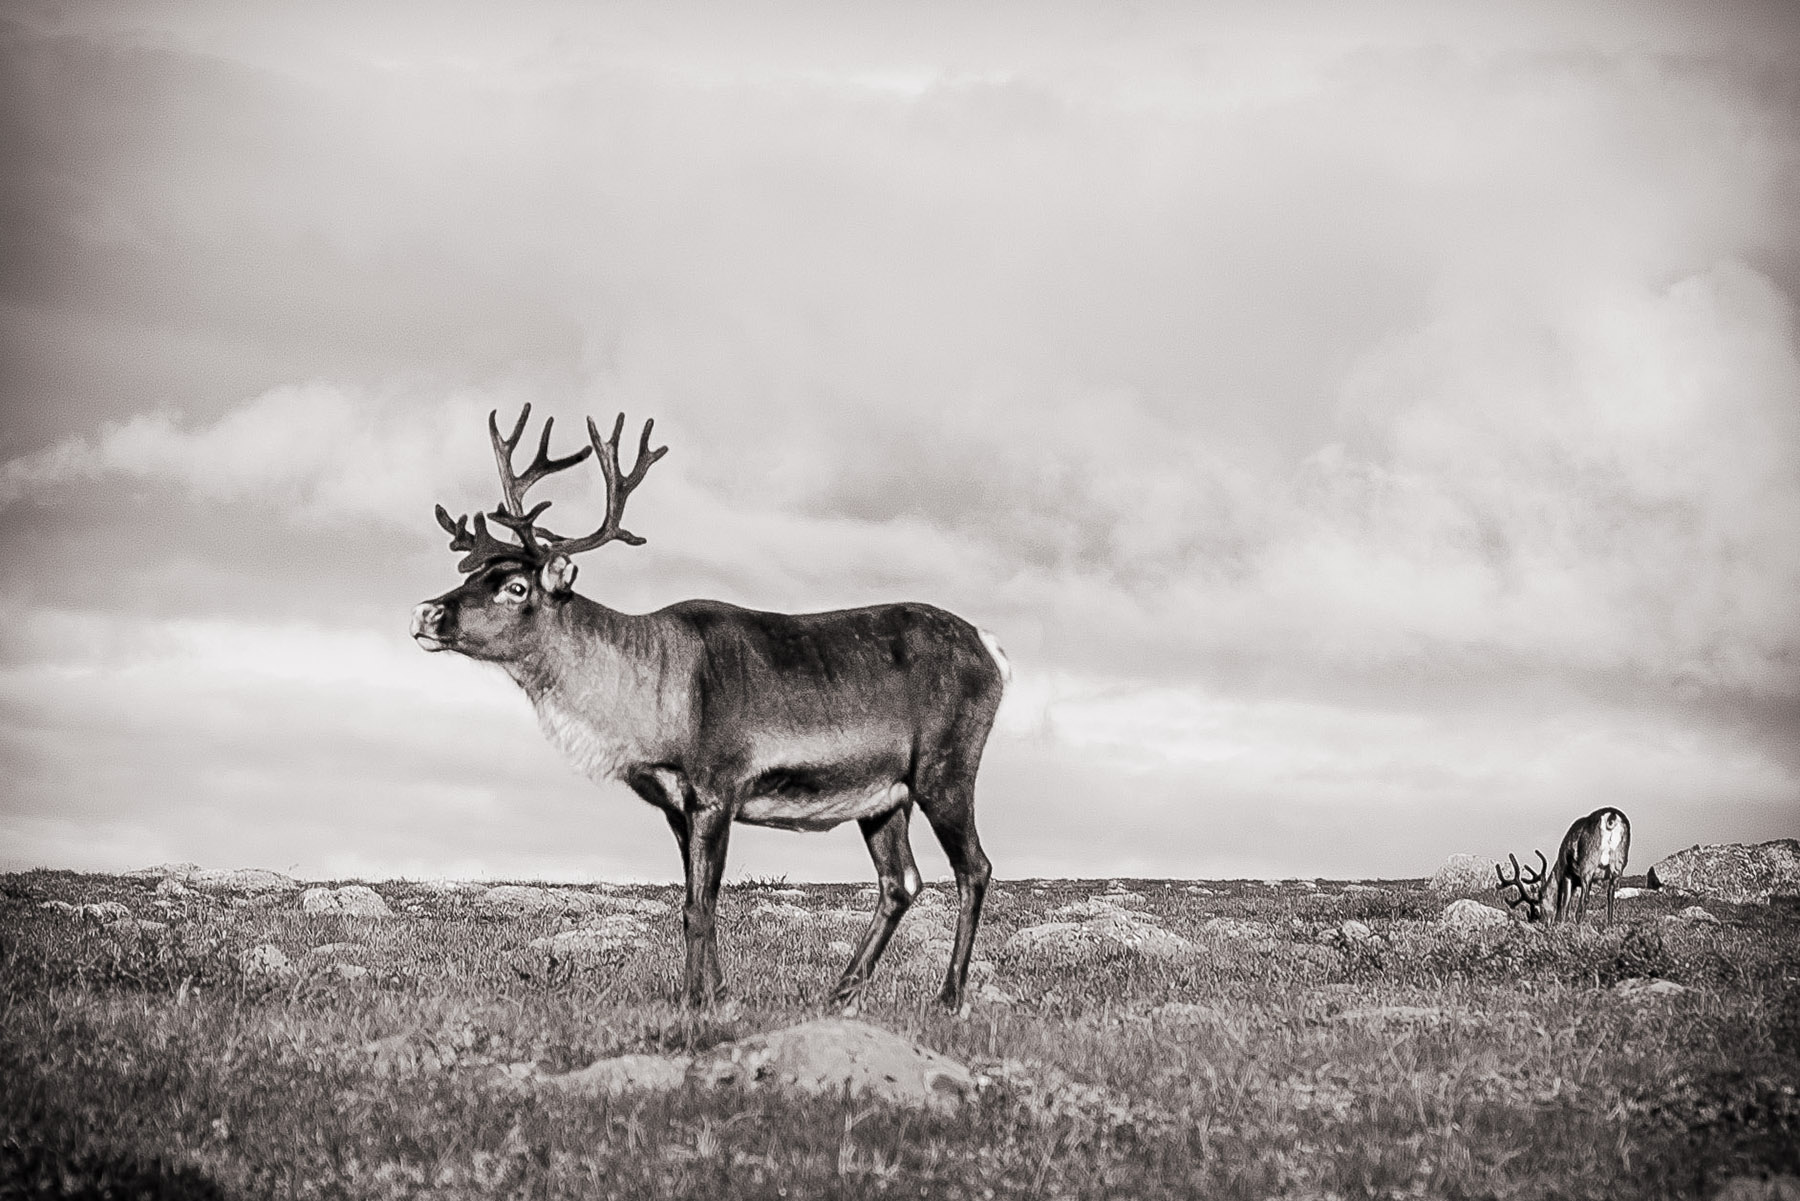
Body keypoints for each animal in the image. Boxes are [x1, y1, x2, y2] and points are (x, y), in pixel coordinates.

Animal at [410, 406, 1010, 1012]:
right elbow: (695, 903)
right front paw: (716, 992)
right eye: (471, 575)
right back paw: (839, 992)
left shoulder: (718, 787)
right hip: (884, 795)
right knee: (900, 881)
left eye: (514, 586)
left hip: (945, 767)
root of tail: (993, 650)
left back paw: (948, 997)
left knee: (974, 867)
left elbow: (700, 906)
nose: (425, 612)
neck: (647, 707)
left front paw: (698, 1002)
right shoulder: (676, 805)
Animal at [1495, 807, 1632, 928]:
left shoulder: (1567, 873)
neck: (1558, 870)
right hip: (1619, 863)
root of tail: (1611, 817)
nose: (1543, 922)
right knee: (1610, 894)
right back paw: (1609, 926)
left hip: (1589, 861)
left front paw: (1560, 922)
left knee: (1585, 897)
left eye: (1540, 906)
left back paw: (1578, 924)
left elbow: (1564, 902)